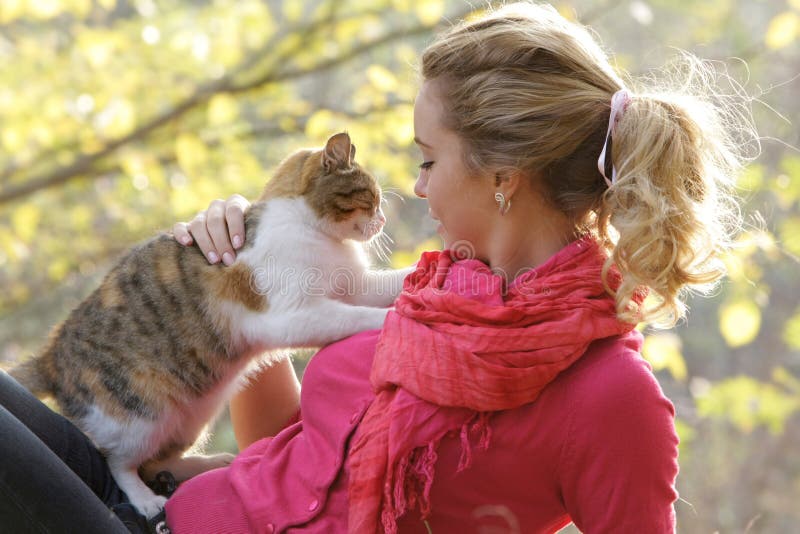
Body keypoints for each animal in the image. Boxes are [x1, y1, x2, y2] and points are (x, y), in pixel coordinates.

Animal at [9, 131, 412, 520]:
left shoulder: (356, 288)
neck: (318, 235)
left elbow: (394, 284)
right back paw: (146, 500)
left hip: (190, 415)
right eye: (373, 198)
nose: (383, 220)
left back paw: (209, 464)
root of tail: (51, 357)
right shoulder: (292, 315)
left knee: (156, 461)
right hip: (140, 413)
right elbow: (353, 316)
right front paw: (390, 317)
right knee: (119, 462)